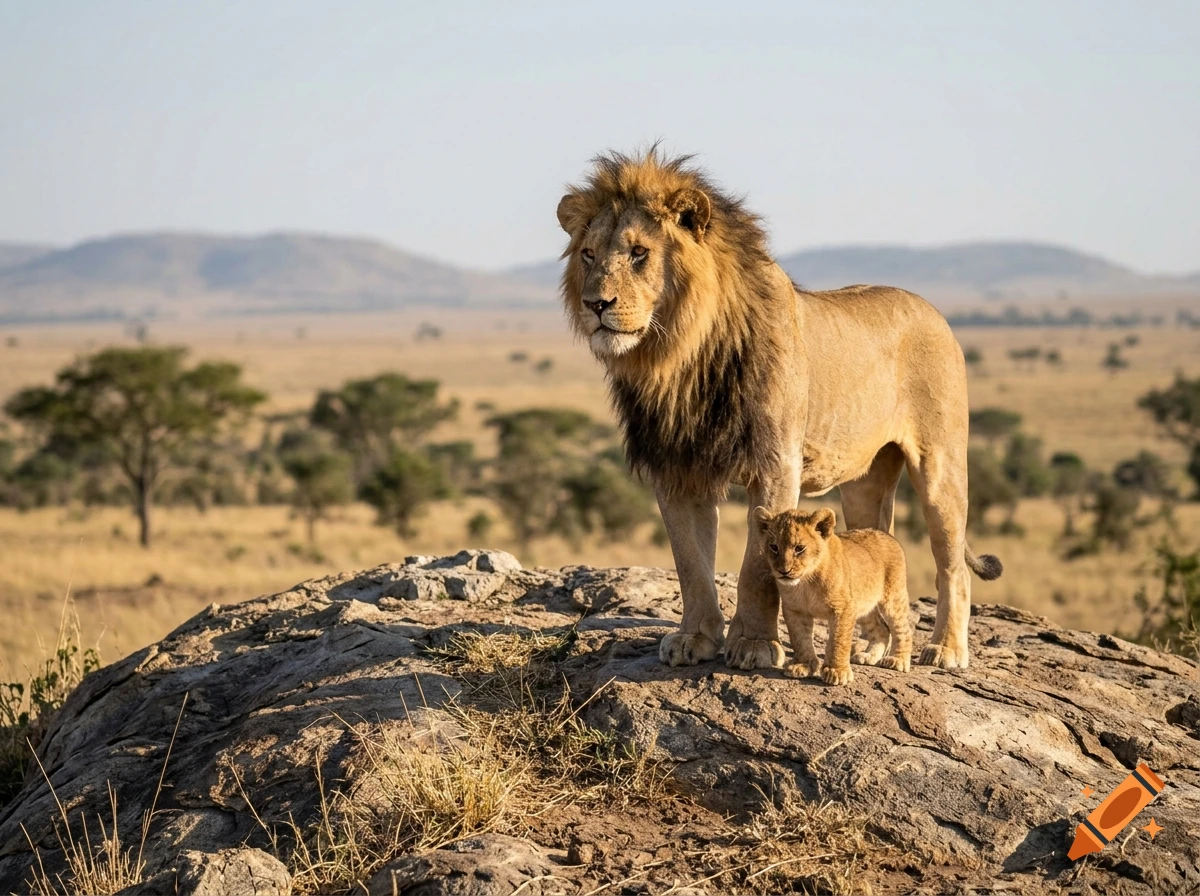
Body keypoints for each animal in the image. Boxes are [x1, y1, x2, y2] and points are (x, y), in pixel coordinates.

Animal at [753, 505, 913, 685]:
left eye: (799, 548)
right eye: (774, 547)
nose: (783, 571)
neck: (805, 583)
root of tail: (888, 536)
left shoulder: (842, 608)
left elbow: (839, 639)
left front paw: (837, 671)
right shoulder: (795, 610)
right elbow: (800, 639)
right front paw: (803, 666)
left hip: (892, 599)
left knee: (903, 630)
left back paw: (897, 660)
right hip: (863, 606)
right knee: (882, 630)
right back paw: (869, 656)